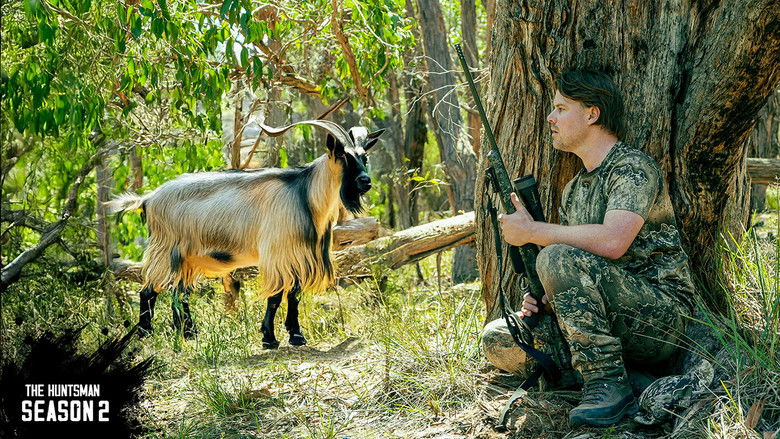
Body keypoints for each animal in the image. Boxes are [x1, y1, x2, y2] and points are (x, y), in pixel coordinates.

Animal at [107, 120, 384, 348]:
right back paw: (145, 333)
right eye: (343, 155)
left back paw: (188, 333)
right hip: (165, 250)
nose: (365, 181)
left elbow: (293, 295)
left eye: (364, 156)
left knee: (179, 294)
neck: (303, 194)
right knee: (148, 290)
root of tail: (148, 198)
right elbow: (275, 296)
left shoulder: (298, 255)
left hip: (187, 258)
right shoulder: (276, 253)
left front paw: (296, 335)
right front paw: (269, 338)